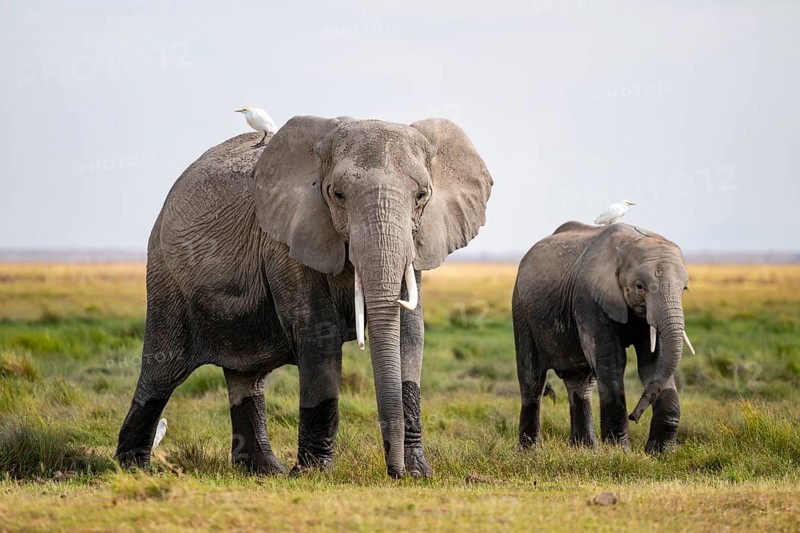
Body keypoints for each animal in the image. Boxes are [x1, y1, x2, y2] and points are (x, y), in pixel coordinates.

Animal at [114, 116, 493, 478]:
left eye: (422, 196)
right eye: (337, 194)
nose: (394, 473)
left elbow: (409, 335)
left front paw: (418, 473)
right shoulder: (287, 240)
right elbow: (318, 335)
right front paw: (312, 475)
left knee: (246, 378)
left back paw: (264, 471)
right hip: (165, 275)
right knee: (162, 372)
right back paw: (131, 468)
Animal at [513, 221, 694, 453]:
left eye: (684, 288)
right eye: (640, 286)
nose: (634, 416)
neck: (628, 246)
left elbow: (653, 363)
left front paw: (661, 453)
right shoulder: (589, 298)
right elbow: (612, 361)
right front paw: (619, 452)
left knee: (580, 384)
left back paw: (584, 449)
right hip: (521, 310)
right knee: (533, 380)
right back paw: (530, 451)